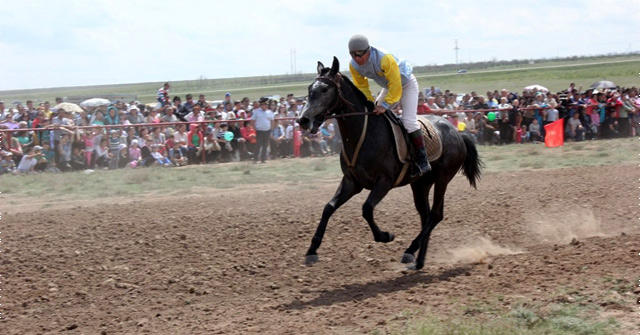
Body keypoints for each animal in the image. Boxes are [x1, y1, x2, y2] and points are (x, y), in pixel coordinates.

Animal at [298, 55, 482, 270]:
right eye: (310, 88)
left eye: (325, 90)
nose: (303, 120)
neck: (364, 134)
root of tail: (458, 133)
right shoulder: (352, 182)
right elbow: (328, 207)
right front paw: (312, 250)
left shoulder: (384, 182)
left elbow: (367, 209)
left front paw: (385, 236)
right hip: (421, 184)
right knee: (426, 215)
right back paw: (418, 261)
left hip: (442, 178)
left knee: (436, 214)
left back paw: (410, 250)